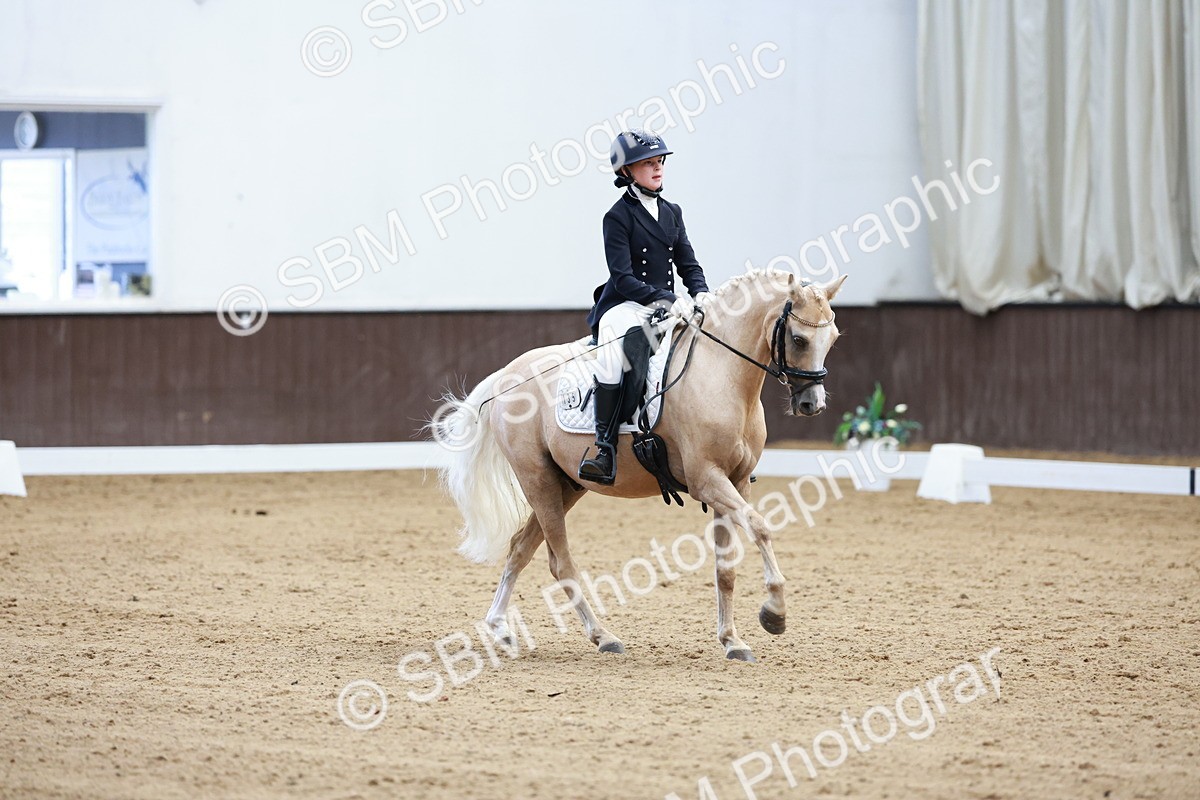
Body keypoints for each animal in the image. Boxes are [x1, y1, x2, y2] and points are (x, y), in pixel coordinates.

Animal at [433, 269, 846, 661]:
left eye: (833, 338)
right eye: (798, 339)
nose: (812, 404)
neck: (723, 375)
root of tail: (507, 375)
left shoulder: (736, 482)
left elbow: (725, 568)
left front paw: (732, 641)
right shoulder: (708, 480)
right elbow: (761, 527)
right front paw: (774, 613)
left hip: (566, 485)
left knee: (521, 548)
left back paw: (501, 629)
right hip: (538, 480)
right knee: (561, 562)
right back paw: (603, 637)